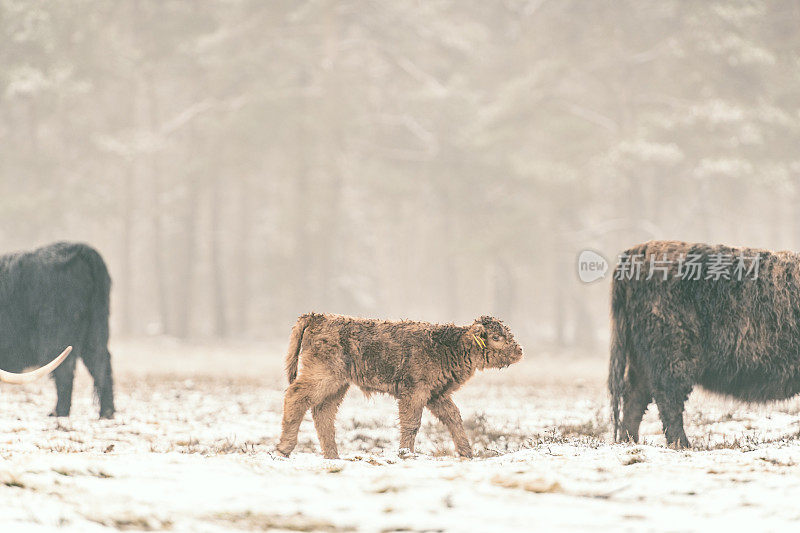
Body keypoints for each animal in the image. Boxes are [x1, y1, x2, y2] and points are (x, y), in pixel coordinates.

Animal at [0, 242, 114, 420]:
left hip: (58, 335)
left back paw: (58, 413)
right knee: (101, 363)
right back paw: (106, 413)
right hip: (95, 329)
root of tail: (80, 248)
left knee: (65, 370)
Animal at [276, 312, 524, 458]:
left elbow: (454, 418)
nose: (520, 350)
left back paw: (333, 456)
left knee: (323, 413)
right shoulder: (415, 392)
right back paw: (283, 450)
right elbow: (412, 423)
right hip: (323, 376)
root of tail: (319, 316)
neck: (450, 345)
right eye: (496, 337)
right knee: (296, 397)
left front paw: (467, 453)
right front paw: (406, 453)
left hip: (338, 384)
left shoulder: (437, 395)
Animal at [608, 240, 796, 444]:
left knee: (635, 398)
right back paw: (682, 444)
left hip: (641, 357)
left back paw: (628, 441)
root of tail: (637, 251)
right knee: (667, 397)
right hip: (672, 350)